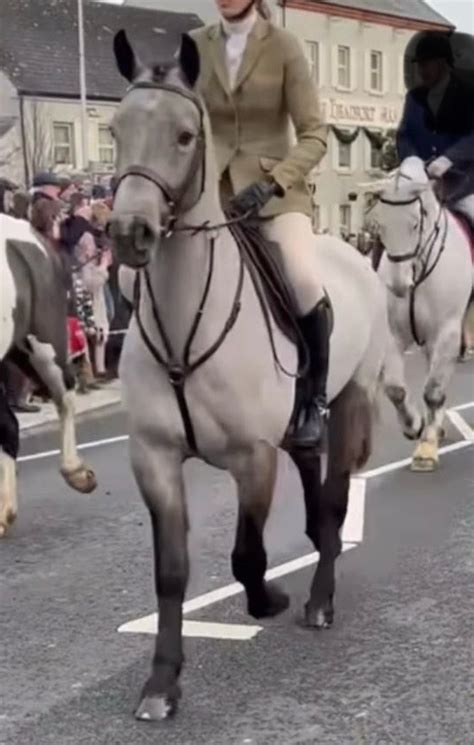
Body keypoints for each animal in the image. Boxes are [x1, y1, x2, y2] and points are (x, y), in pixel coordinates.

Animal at [109, 32, 390, 716]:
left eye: (186, 135)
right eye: (115, 130)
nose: (130, 233)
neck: (185, 318)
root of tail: (352, 251)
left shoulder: (252, 457)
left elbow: (246, 553)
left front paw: (269, 599)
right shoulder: (154, 458)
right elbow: (172, 573)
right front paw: (162, 682)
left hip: (349, 402)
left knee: (335, 499)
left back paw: (318, 600)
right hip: (300, 424)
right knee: (316, 487)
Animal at [362, 155, 470, 470]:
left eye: (414, 224)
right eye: (381, 225)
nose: (399, 286)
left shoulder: (447, 331)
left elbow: (433, 390)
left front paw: (427, 447)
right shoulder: (394, 334)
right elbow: (396, 389)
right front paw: (414, 426)